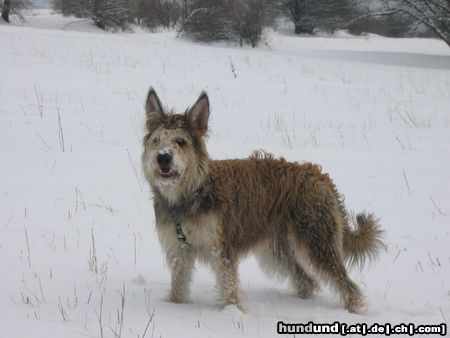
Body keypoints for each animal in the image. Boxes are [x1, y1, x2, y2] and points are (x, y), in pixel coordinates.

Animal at [141, 88, 384, 314]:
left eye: (180, 141)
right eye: (156, 140)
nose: (163, 157)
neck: (190, 195)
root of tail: (320, 176)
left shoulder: (221, 249)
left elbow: (228, 286)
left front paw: (232, 312)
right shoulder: (179, 251)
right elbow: (179, 285)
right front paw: (175, 306)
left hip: (317, 240)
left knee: (344, 283)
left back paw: (355, 309)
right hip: (278, 248)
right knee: (306, 280)